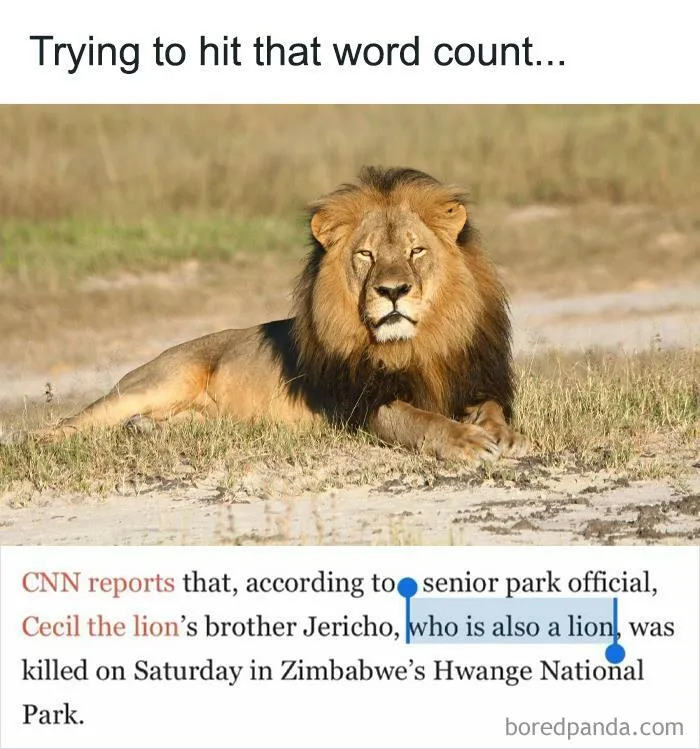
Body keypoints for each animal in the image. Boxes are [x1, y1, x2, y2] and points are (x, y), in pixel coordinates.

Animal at [30, 167, 525, 461]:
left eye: (415, 251)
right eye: (365, 255)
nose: (392, 291)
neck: (416, 345)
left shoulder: (475, 378)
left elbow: (492, 407)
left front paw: (502, 434)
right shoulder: (360, 405)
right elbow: (418, 420)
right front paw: (466, 442)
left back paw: (144, 431)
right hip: (158, 380)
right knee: (75, 422)